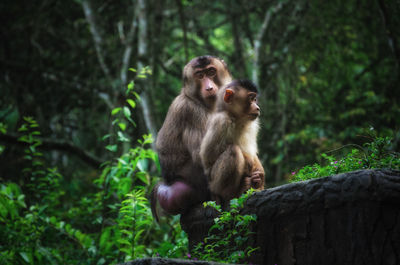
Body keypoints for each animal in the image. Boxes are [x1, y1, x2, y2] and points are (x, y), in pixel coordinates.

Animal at [153, 54, 234, 218]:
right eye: (200, 76)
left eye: (211, 72)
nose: (209, 87)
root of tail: (167, 183)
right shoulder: (190, 111)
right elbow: (202, 155)